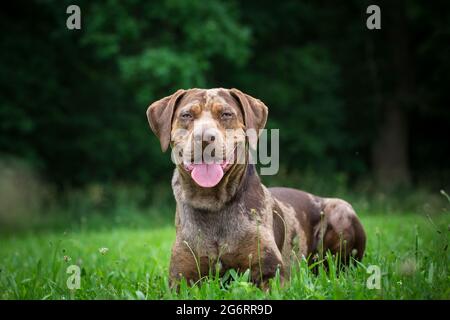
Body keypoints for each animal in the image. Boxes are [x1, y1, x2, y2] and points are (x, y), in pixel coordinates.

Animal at [148, 88, 366, 288]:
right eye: (186, 115)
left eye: (226, 114)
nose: (204, 138)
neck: (213, 203)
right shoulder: (181, 279)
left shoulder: (271, 272)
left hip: (341, 210)